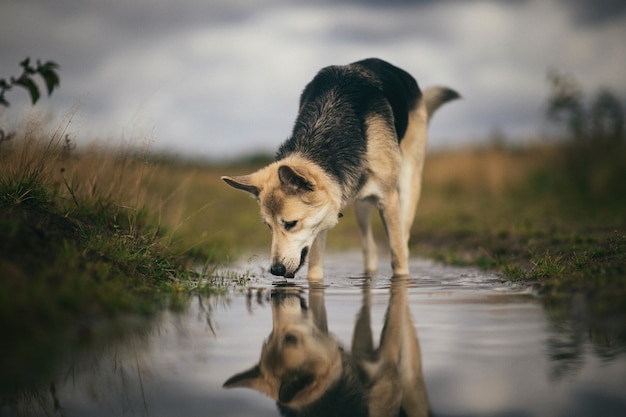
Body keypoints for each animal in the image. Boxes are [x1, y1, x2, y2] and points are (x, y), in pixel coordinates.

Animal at [222, 57, 456, 280]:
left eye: (290, 223)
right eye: (268, 226)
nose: (276, 270)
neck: (323, 138)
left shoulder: (387, 200)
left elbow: (398, 258)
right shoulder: (321, 222)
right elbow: (315, 273)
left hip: (407, 186)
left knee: (401, 241)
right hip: (362, 205)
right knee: (370, 249)